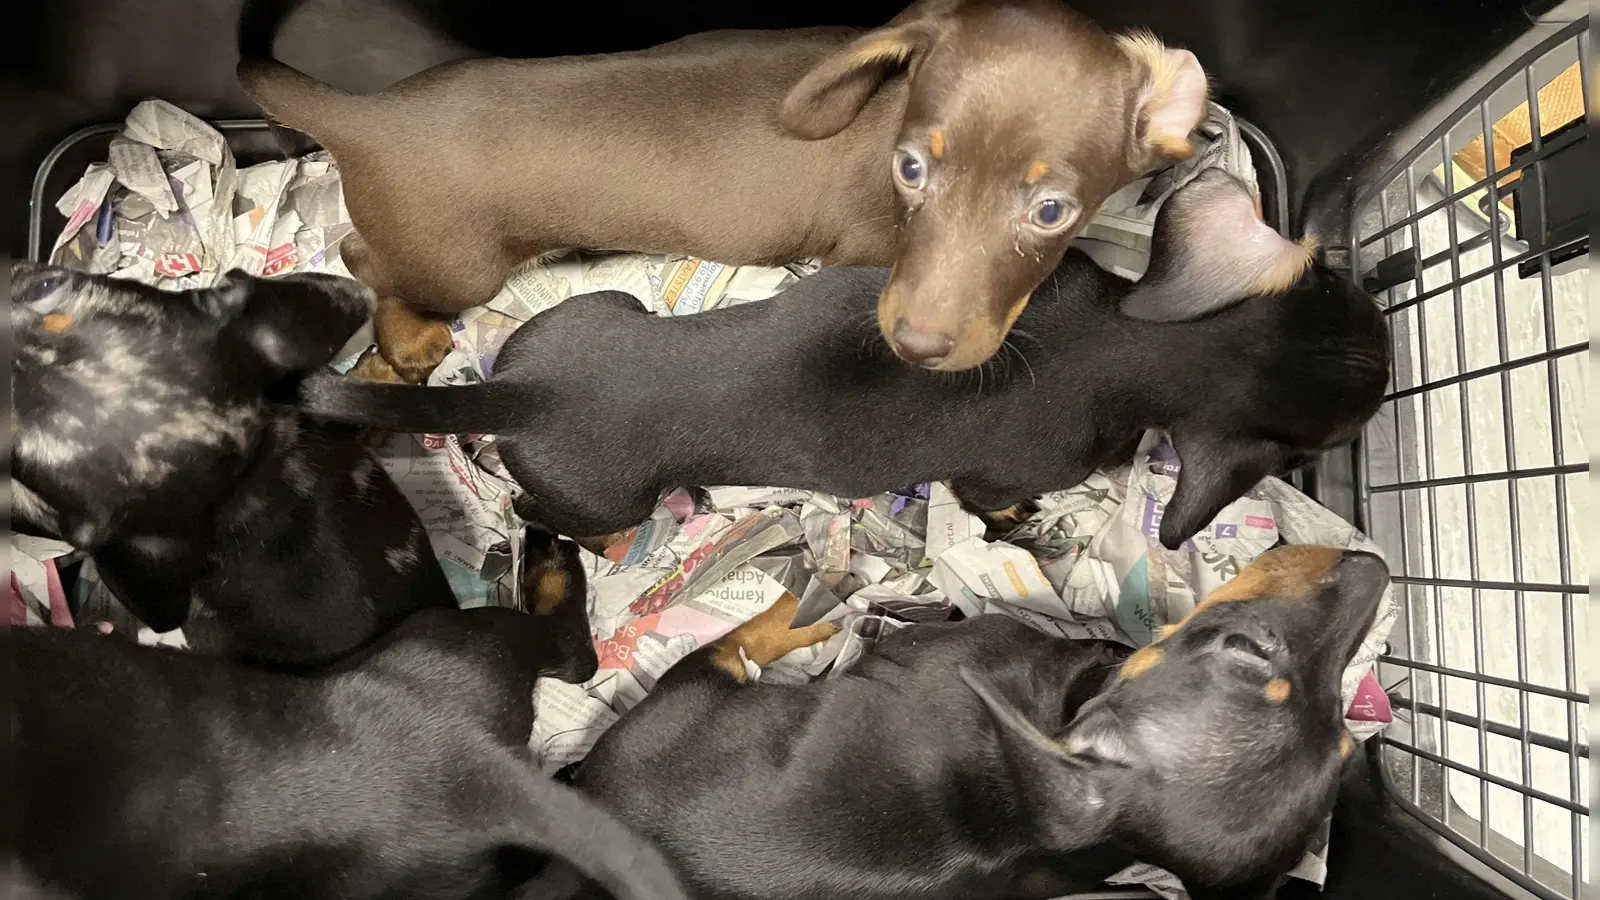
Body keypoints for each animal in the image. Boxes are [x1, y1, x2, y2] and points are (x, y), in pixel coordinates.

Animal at [243, 0, 1203, 377]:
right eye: (911, 169)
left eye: (1051, 210)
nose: (918, 345)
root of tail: (369, 114)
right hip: (455, 263)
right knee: (360, 254)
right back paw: (404, 336)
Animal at [297, 166, 1388, 547]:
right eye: (1352, 418)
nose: (1386, 359)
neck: (1135, 340)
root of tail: (524, 395)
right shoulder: (1005, 475)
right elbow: (998, 501)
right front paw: (1022, 528)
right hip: (604, 501)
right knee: (542, 513)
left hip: (594, 311)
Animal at [563, 538, 1388, 896]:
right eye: (1347, 748)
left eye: (1246, 647)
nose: (1379, 567)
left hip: (694, 683)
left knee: (745, 635)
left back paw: (811, 592)